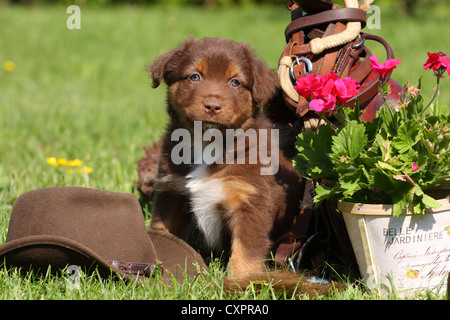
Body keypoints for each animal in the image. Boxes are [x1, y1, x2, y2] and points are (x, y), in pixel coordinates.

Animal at [149, 37, 304, 278]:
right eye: (195, 76)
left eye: (235, 82)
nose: (212, 106)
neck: (207, 144)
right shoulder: (172, 192)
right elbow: (162, 231)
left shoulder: (250, 202)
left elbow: (245, 254)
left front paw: (238, 281)